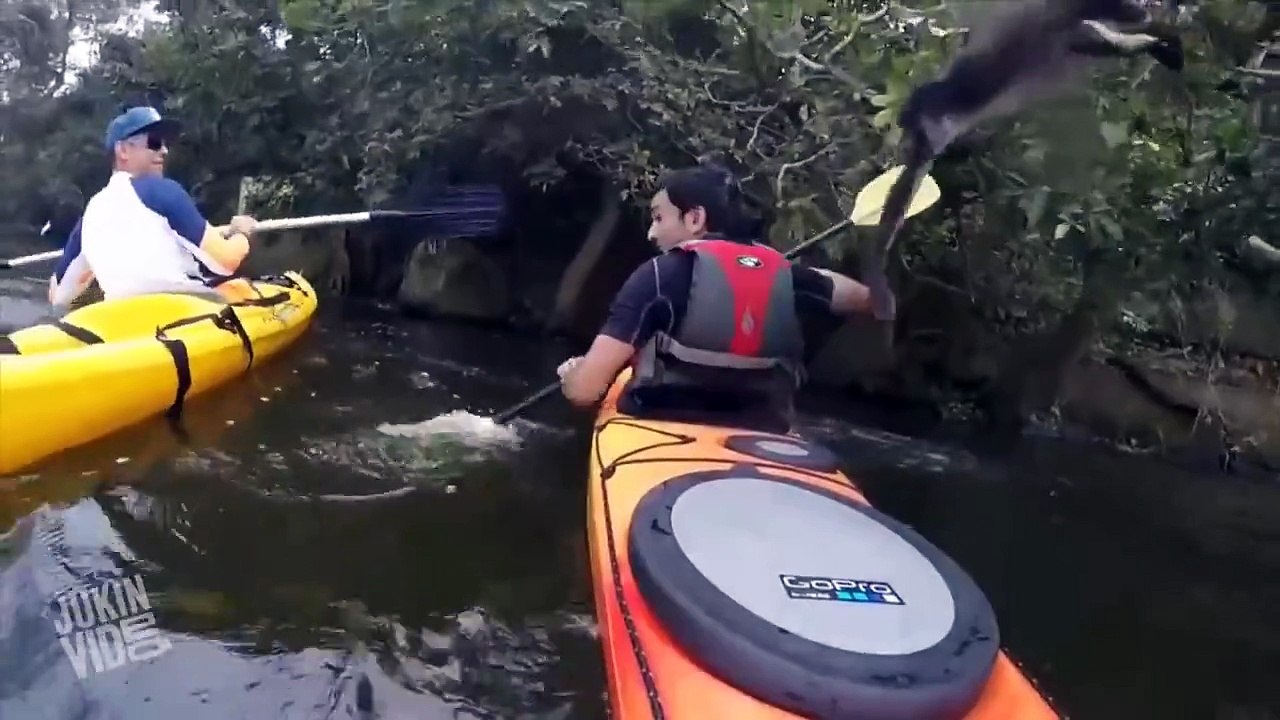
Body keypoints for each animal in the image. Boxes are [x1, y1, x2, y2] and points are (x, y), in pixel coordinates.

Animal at [860, 0, 1184, 322]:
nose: (906, 140)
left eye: (912, 130)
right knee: (1105, 40)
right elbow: (902, 194)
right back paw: (1158, 42)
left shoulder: (938, 124)